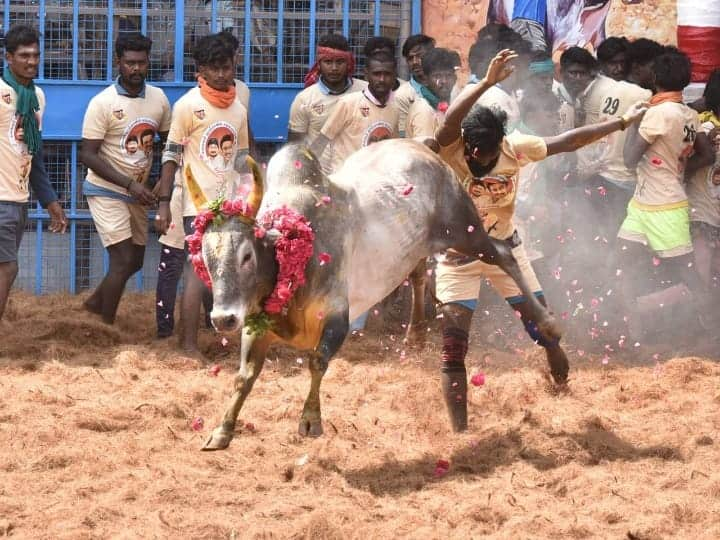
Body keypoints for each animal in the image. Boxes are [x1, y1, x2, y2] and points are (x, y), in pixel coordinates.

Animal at [200, 140, 560, 452]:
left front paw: (310, 421)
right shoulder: (257, 325)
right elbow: (244, 377)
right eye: (205, 257)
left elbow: (317, 362)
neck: (291, 252)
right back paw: (415, 335)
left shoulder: (336, 318)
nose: (222, 319)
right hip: (425, 242)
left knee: (504, 254)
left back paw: (548, 324)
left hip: (463, 230)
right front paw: (222, 431)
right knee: (418, 273)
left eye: (247, 255)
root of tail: (423, 147)